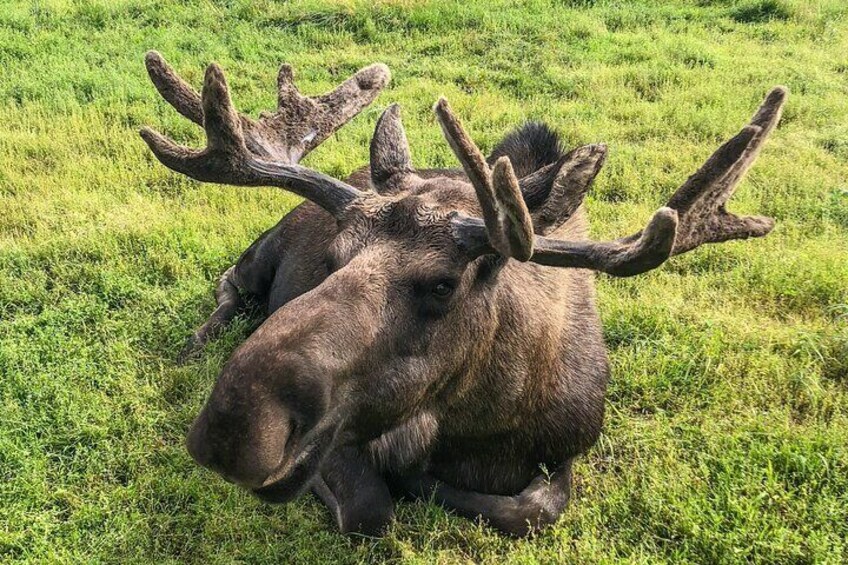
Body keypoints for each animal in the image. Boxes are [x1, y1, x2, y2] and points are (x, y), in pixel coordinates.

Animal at [141, 54, 788, 536]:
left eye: (442, 284)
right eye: (333, 257)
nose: (232, 428)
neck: (485, 425)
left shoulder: (568, 448)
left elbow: (533, 509)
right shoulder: (349, 439)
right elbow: (370, 510)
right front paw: (410, 482)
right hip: (262, 253)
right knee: (230, 285)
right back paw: (197, 344)